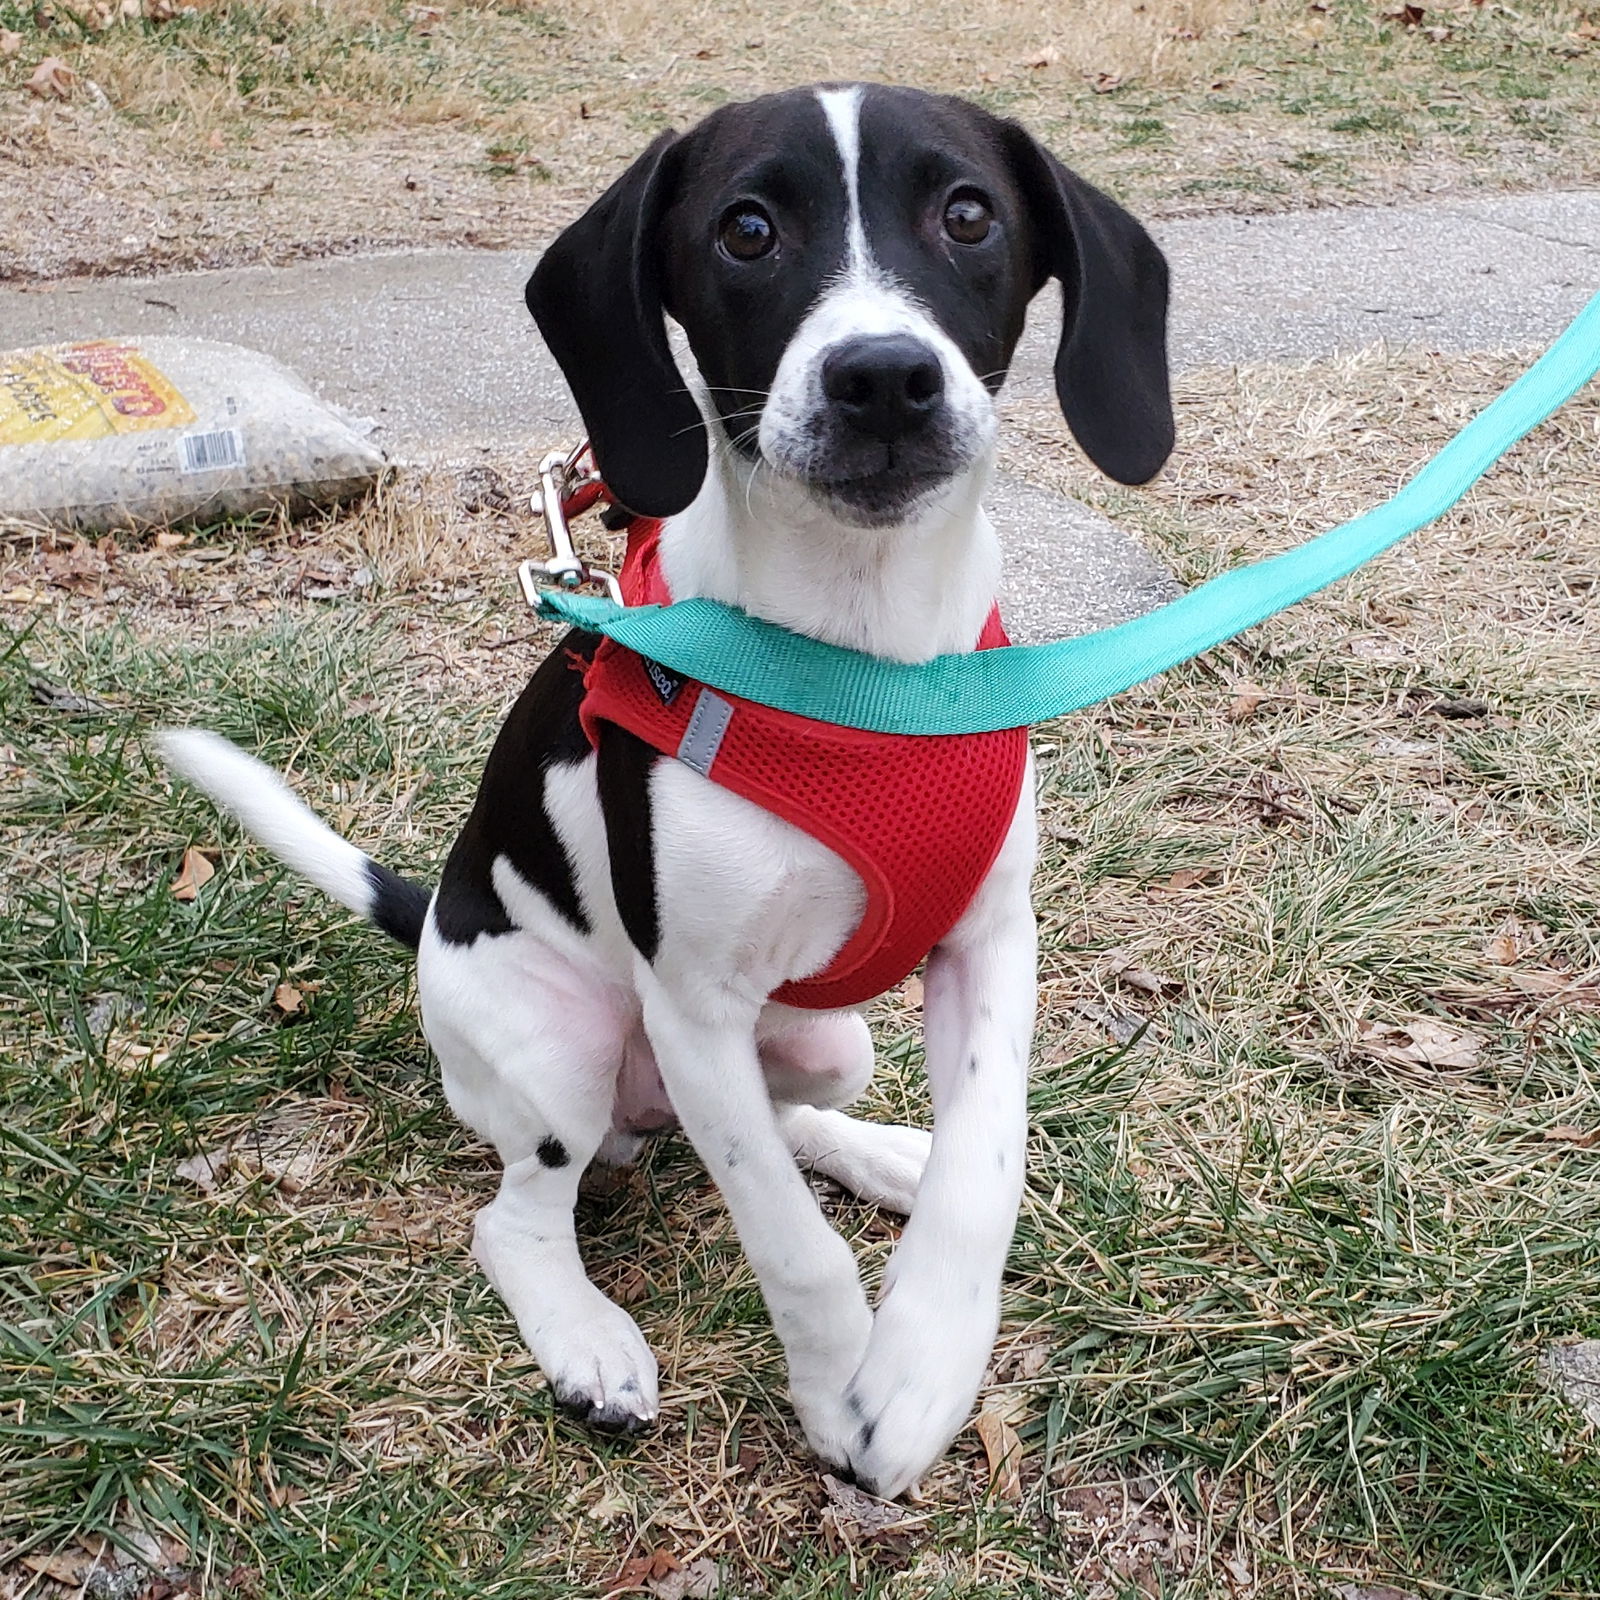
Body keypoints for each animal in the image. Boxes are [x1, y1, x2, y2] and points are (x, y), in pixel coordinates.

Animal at [156, 81, 1171, 1491]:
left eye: (968, 214)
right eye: (746, 229)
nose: (883, 378)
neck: (861, 662)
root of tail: (433, 917)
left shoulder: (987, 943)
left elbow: (983, 1165)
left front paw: (920, 1363)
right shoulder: (691, 1003)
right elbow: (791, 1244)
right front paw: (842, 1391)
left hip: (829, 1040)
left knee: (774, 1122)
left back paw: (876, 1153)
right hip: (566, 1050)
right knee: (521, 1213)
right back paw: (586, 1337)